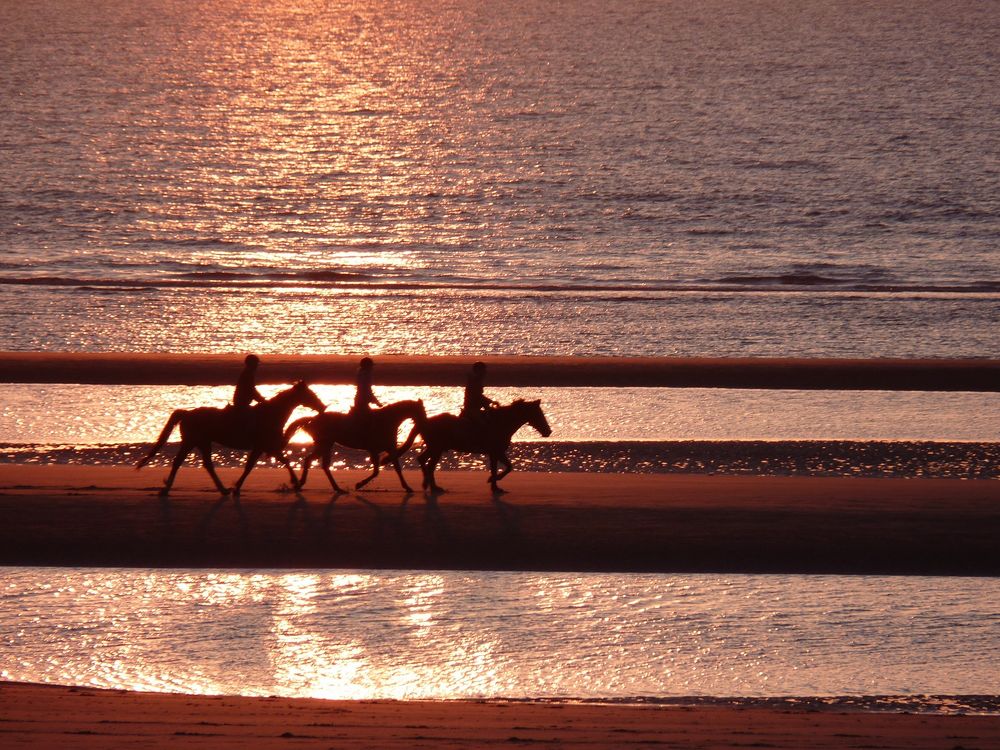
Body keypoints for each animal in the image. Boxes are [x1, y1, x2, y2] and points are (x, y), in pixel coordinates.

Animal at [135, 382, 324, 500]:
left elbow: (284, 461)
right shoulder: (262, 446)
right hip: (191, 442)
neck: (270, 414)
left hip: (203, 443)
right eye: (310, 394)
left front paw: (296, 483)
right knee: (178, 462)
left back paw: (222, 489)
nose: (322, 407)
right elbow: (251, 466)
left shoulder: (267, 446)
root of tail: (187, 414)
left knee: (207, 465)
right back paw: (166, 489)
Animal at [282, 396, 426, 496]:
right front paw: (359, 484)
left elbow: (396, 468)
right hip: (325, 445)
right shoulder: (374, 450)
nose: (424, 423)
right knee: (317, 463)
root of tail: (313, 419)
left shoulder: (389, 449)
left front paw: (407, 487)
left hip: (325, 445)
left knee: (317, 463)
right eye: (422, 411)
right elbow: (377, 471)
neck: (387, 420)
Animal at [400, 400, 556, 494]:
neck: (501, 423)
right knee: (428, 464)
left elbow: (500, 468)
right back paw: (432, 486)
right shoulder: (497, 451)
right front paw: (493, 482)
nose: (548, 431)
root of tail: (424, 422)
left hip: (435, 448)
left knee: (423, 461)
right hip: (437, 448)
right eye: (538, 414)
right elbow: (508, 467)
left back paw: (428, 484)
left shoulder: (495, 453)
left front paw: (495, 486)